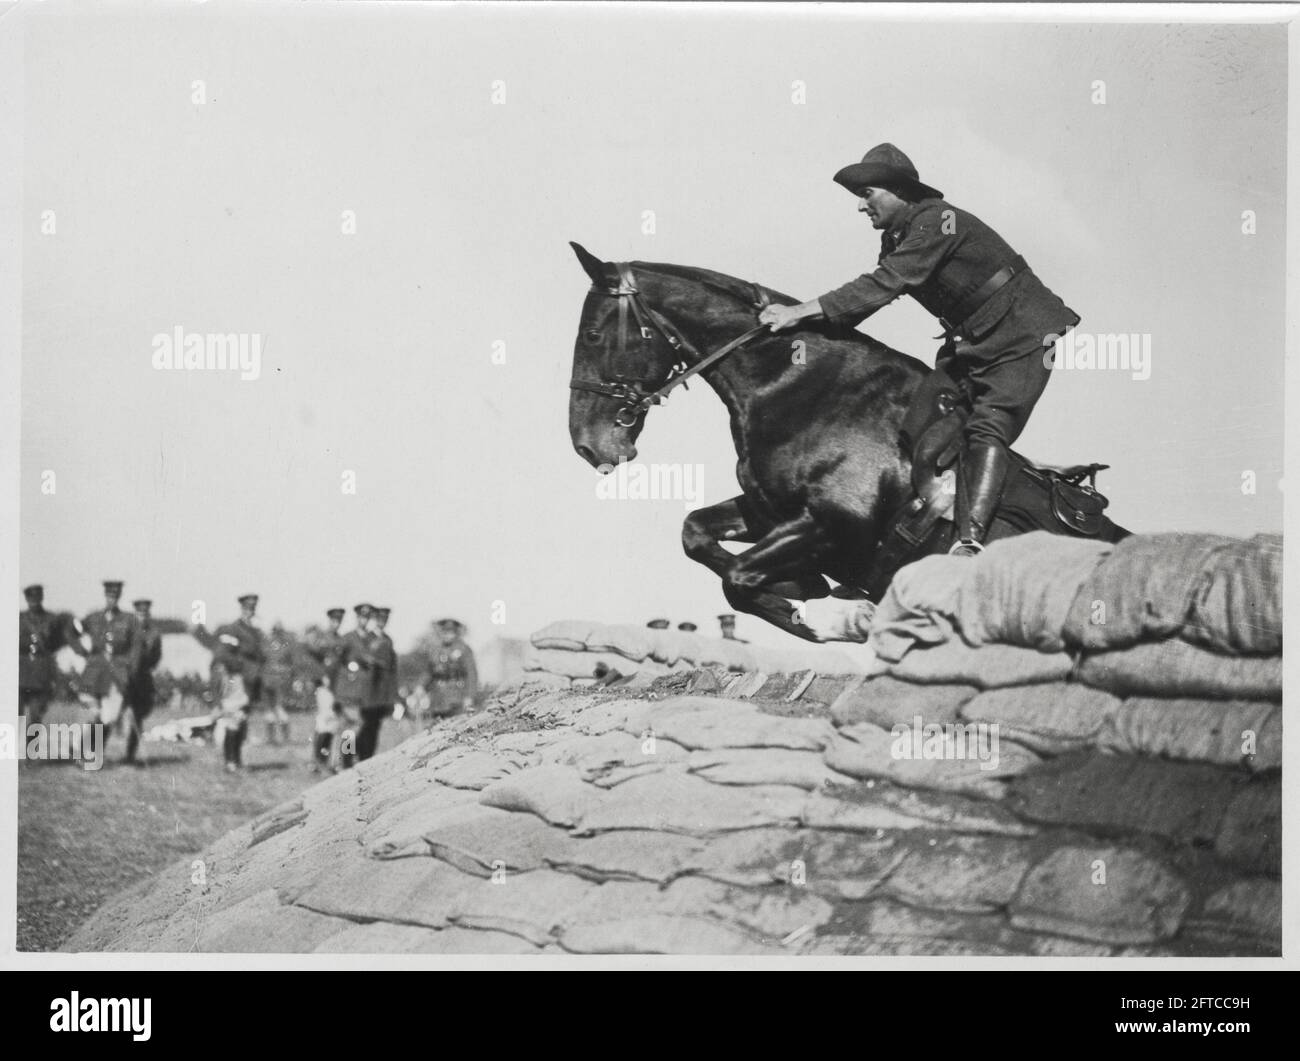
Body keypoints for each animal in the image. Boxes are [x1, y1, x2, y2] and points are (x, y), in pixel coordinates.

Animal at [569, 241, 1128, 637]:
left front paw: (837, 614)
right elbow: (695, 534)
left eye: (593, 336)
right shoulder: (768, 512)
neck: (795, 384)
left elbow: (739, 579)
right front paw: (805, 585)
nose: (587, 445)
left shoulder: (832, 522)